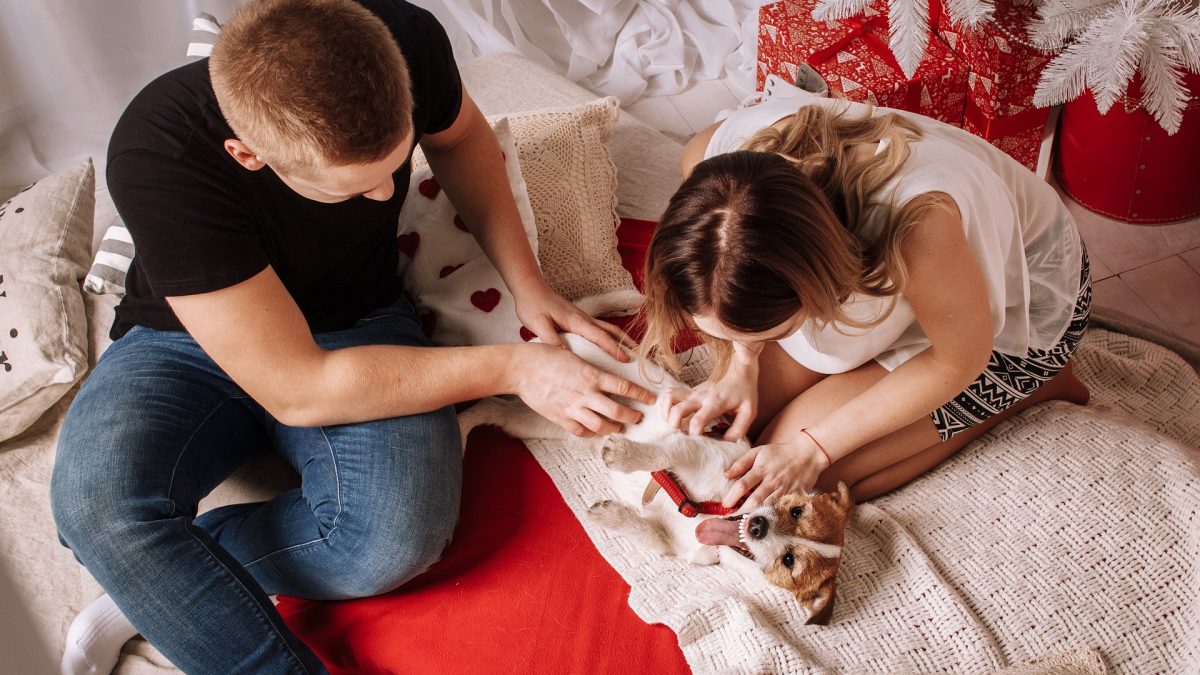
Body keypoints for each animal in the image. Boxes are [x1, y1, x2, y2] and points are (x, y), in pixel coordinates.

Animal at [456, 291, 854, 624]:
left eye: (789, 561)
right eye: (795, 510)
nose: (758, 526)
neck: (711, 510)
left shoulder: (669, 541)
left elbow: (645, 532)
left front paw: (610, 515)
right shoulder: (695, 445)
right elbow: (661, 452)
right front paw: (624, 454)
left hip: (542, 419)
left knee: (493, 409)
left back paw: (460, 430)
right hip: (583, 366)